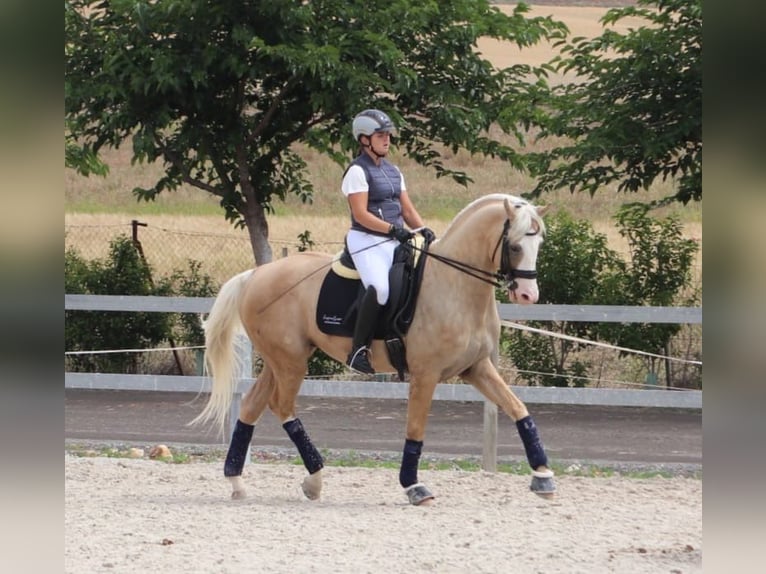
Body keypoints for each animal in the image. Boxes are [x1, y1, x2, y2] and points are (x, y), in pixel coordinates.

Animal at [192, 193, 556, 505]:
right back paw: (315, 479)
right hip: (290, 363)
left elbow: (519, 409)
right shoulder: (425, 374)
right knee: (282, 407)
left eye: (539, 243)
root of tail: (255, 274)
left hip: (280, 360)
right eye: (515, 245)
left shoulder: (476, 368)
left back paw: (238, 481)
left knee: (252, 406)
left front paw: (543, 476)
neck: (455, 286)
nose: (529, 295)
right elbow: (415, 429)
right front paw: (414, 486)